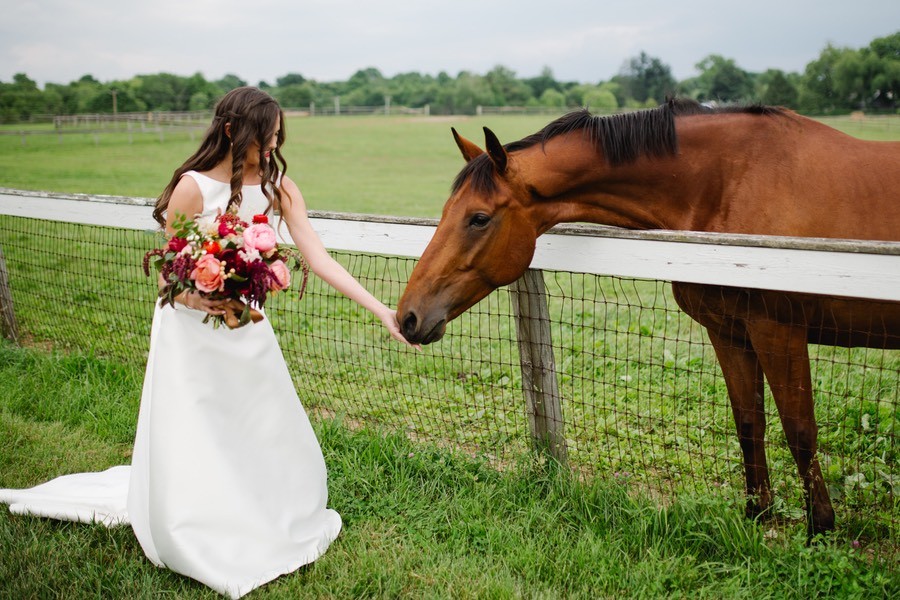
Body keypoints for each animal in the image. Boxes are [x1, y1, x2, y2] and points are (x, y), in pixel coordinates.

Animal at [400, 99, 900, 540]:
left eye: (479, 218)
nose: (408, 316)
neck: (732, 182)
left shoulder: (779, 332)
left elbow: (800, 432)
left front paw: (821, 529)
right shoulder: (730, 332)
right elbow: (748, 423)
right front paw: (758, 515)